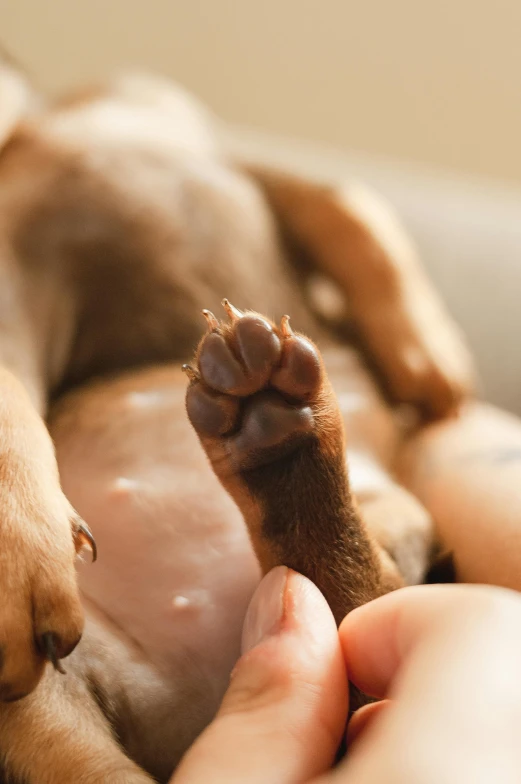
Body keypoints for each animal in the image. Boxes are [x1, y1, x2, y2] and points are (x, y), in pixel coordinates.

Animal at [0, 56, 474, 784]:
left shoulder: (239, 164)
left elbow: (343, 198)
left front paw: (424, 347)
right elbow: (7, 398)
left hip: (400, 521)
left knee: (355, 594)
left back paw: (278, 437)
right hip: (41, 717)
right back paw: (277, 443)